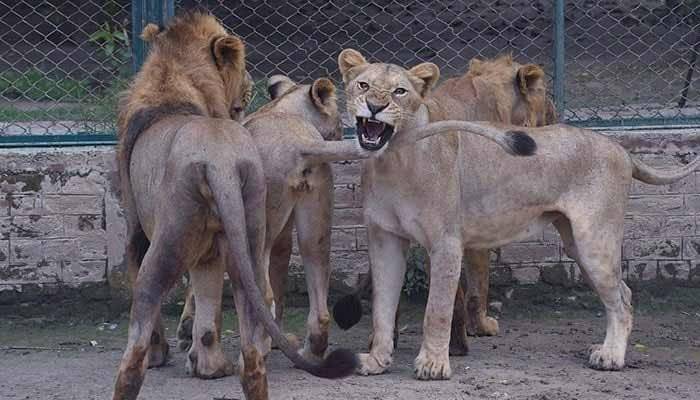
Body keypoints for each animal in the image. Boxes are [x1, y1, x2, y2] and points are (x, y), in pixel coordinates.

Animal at [175, 73, 358, 369]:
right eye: (340, 120)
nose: (343, 133)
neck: (284, 109)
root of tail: (299, 143)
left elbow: (197, 286)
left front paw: (189, 338)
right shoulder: (282, 238)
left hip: (255, 231)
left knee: (263, 295)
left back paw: (250, 356)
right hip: (315, 229)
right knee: (319, 303)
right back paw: (308, 352)